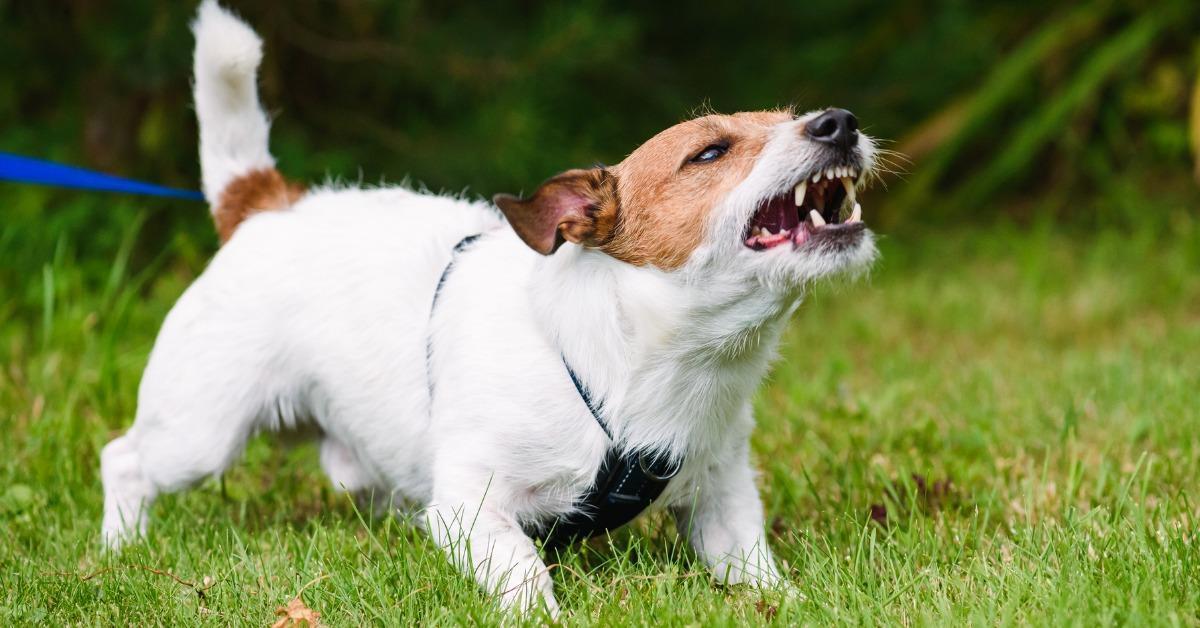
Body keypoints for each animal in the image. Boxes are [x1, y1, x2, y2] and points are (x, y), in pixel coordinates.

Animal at [98, 0, 878, 614]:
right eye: (709, 153)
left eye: (793, 117)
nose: (840, 121)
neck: (644, 361)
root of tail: (264, 204)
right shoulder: (470, 505)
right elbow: (524, 572)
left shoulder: (722, 496)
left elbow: (751, 565)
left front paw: (787, 602)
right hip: (199, 431)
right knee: (124, 459)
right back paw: (118, 549)